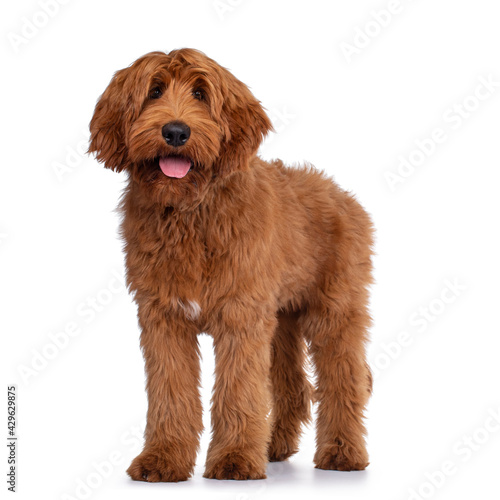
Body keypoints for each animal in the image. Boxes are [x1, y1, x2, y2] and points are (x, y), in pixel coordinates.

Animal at [88, 48, 374, 482]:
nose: (176, 132)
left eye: (200, 94)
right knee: (291, 387)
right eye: (154, 90)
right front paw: (163, 458)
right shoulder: (164, 317)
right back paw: (273, 447)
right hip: (282, 321)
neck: (190, 212)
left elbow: (239, 390)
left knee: (345, 382)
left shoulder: (241, 315)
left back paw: (343, 453)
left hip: (334, 313)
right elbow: (170, 392)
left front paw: (235, 459)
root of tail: (341, 193)